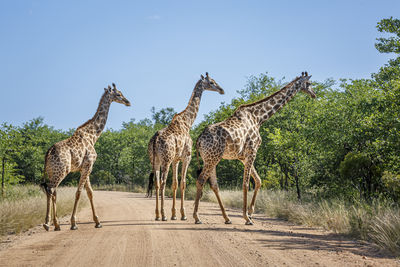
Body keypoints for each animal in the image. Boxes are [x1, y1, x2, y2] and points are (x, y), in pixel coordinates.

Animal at [40, 82, 130, 231]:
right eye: (119, 94)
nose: (128, 102)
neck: (93, 135)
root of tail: (48, 152)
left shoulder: (85, 168)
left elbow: (90, 192)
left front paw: (98, 222)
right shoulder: (89, 165)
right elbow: (79, 192)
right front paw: (73, 223)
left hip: (52, 172)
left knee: (52, 191)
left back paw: (56, 224)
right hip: (61, 170)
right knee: (51, 189)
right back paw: (48, 224)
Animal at [149, 73, 227, 222]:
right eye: (212, 82)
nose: (222, 90)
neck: (188, 122)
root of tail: (155, 139)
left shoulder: (176, 160)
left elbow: (175, 183)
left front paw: (174, 214)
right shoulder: (187, 157)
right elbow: (183, 183)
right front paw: (183, 215)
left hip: (155, 160)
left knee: (156, 183)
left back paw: (156, 215)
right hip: (165, 160)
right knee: (162, 182)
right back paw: (163, 215)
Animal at [194, 72, 316, 225]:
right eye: (309, 83)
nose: (314, 94)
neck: (259, 118)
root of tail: (199, 140)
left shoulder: (243, 157)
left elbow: (258, 181)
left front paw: (251, 213)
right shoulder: (252, 151)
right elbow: (246, 183)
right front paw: (247, 217)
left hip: (211, 159)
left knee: (214, 184)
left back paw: (227, 218)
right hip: (212, 158)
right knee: (201, 180)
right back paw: (197, 217)